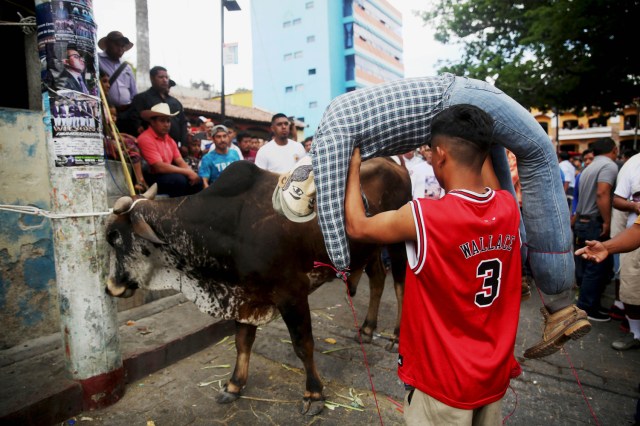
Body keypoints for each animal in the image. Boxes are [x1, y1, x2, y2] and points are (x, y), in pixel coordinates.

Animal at [105, 158, 410, 414]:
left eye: (115, 237)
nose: (110, 287)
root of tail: (395, 164)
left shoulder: (292, 294)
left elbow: (303, 345)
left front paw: (313, 394)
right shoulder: (245, 295)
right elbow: (242, 342)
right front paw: (233, 385)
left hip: (398, 246)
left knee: (399, 287)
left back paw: (395, 337)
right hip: (369, 250)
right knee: (378, 280)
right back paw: (367, 329)